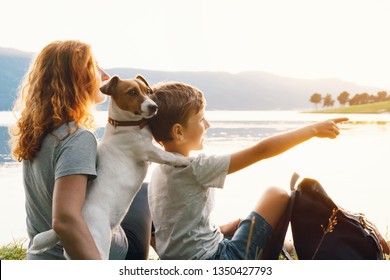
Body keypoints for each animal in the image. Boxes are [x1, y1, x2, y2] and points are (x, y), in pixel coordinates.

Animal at [26, 75, 191, 260]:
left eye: (148, 91)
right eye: (132, 92)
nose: (154, 107)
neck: (126, 125)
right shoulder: (147, 151)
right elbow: (169, 157)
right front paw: (184, 160)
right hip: (100, 246)